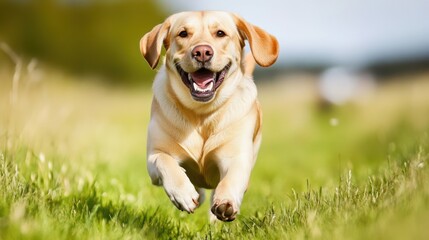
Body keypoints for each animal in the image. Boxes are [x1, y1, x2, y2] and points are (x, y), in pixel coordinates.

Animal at [140, 11, 278, 221]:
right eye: (183, 33)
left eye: (220, 33)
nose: (202, 52)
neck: (201, 114)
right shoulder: (155, 157)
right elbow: (165, 161)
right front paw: (183, 193)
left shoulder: (236, 156)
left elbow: (232, 178)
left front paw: (226, 202)